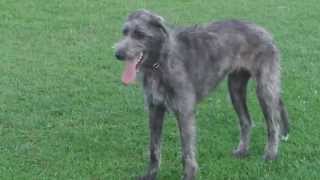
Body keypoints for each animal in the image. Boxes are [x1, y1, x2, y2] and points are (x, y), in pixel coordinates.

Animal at [113, 10, 290, 180]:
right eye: (125, 32)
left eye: (140, 34)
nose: (118, 54)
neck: (160, 62)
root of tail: (265, 31)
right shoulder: (155, 109)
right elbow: (154, 148)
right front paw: (150, 175)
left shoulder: (185, 112)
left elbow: (187, 152)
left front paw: (189, 176)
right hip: (235, 89)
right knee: (246, 121)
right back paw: (242, 150)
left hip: (265, 90)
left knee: (273, 125)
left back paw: (270, 155)